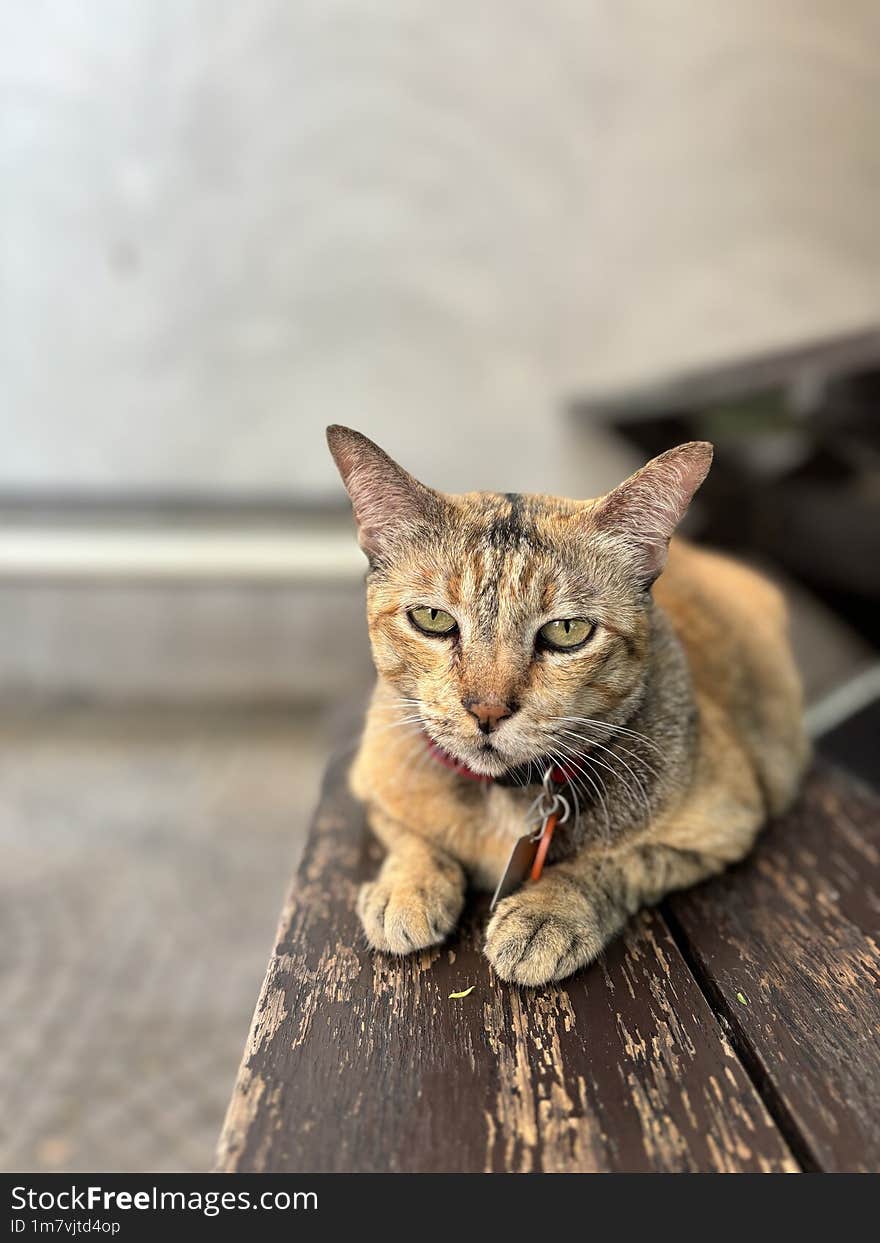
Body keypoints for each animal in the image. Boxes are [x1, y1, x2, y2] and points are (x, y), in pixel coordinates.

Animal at [325, 422, 805, 984]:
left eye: (568, 631)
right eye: (432, 619)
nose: (487, 710)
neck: (505, 800)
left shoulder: (724, 827)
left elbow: (617, 864)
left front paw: (546, 913)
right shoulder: (376, 783)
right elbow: (409, 837)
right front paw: (408, 886)